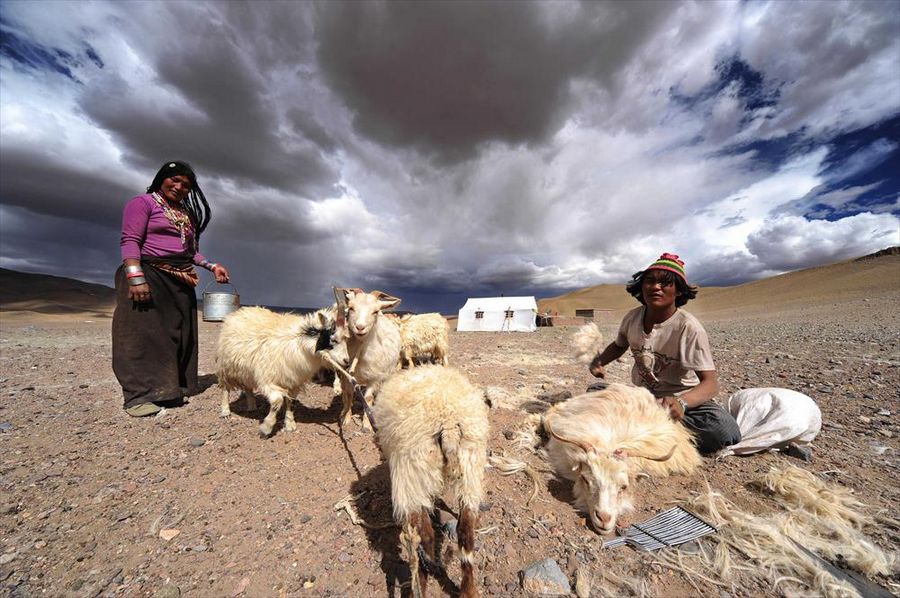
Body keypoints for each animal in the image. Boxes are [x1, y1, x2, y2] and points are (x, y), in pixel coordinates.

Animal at [216, 308, 340, 438]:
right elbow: (277, 401)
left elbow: (291, 403)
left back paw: (251, 406)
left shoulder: (294, 382)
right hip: (226, 368)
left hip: (246, 371)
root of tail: (240, 311)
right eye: (333, 339)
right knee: (225, 389)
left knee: (248, 388)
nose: (346, 361)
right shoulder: (267, 380)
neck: (297, 343)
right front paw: (266, 428)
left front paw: (290, 424)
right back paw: (225, 411)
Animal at [334, 290, 400, 432]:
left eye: (375, 311)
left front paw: (367, 424)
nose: (360, 327)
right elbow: (348, 395)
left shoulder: (374, 378)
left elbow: (368, 398)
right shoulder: (347, 376)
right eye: (351, 308)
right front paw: (346, 418)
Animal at [370, 366, 488, 598]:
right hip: (470, 469)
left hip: (412, 475)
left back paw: (421, 584)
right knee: (465, 533)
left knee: (422, 539)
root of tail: (449, 424)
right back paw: (468, 590)